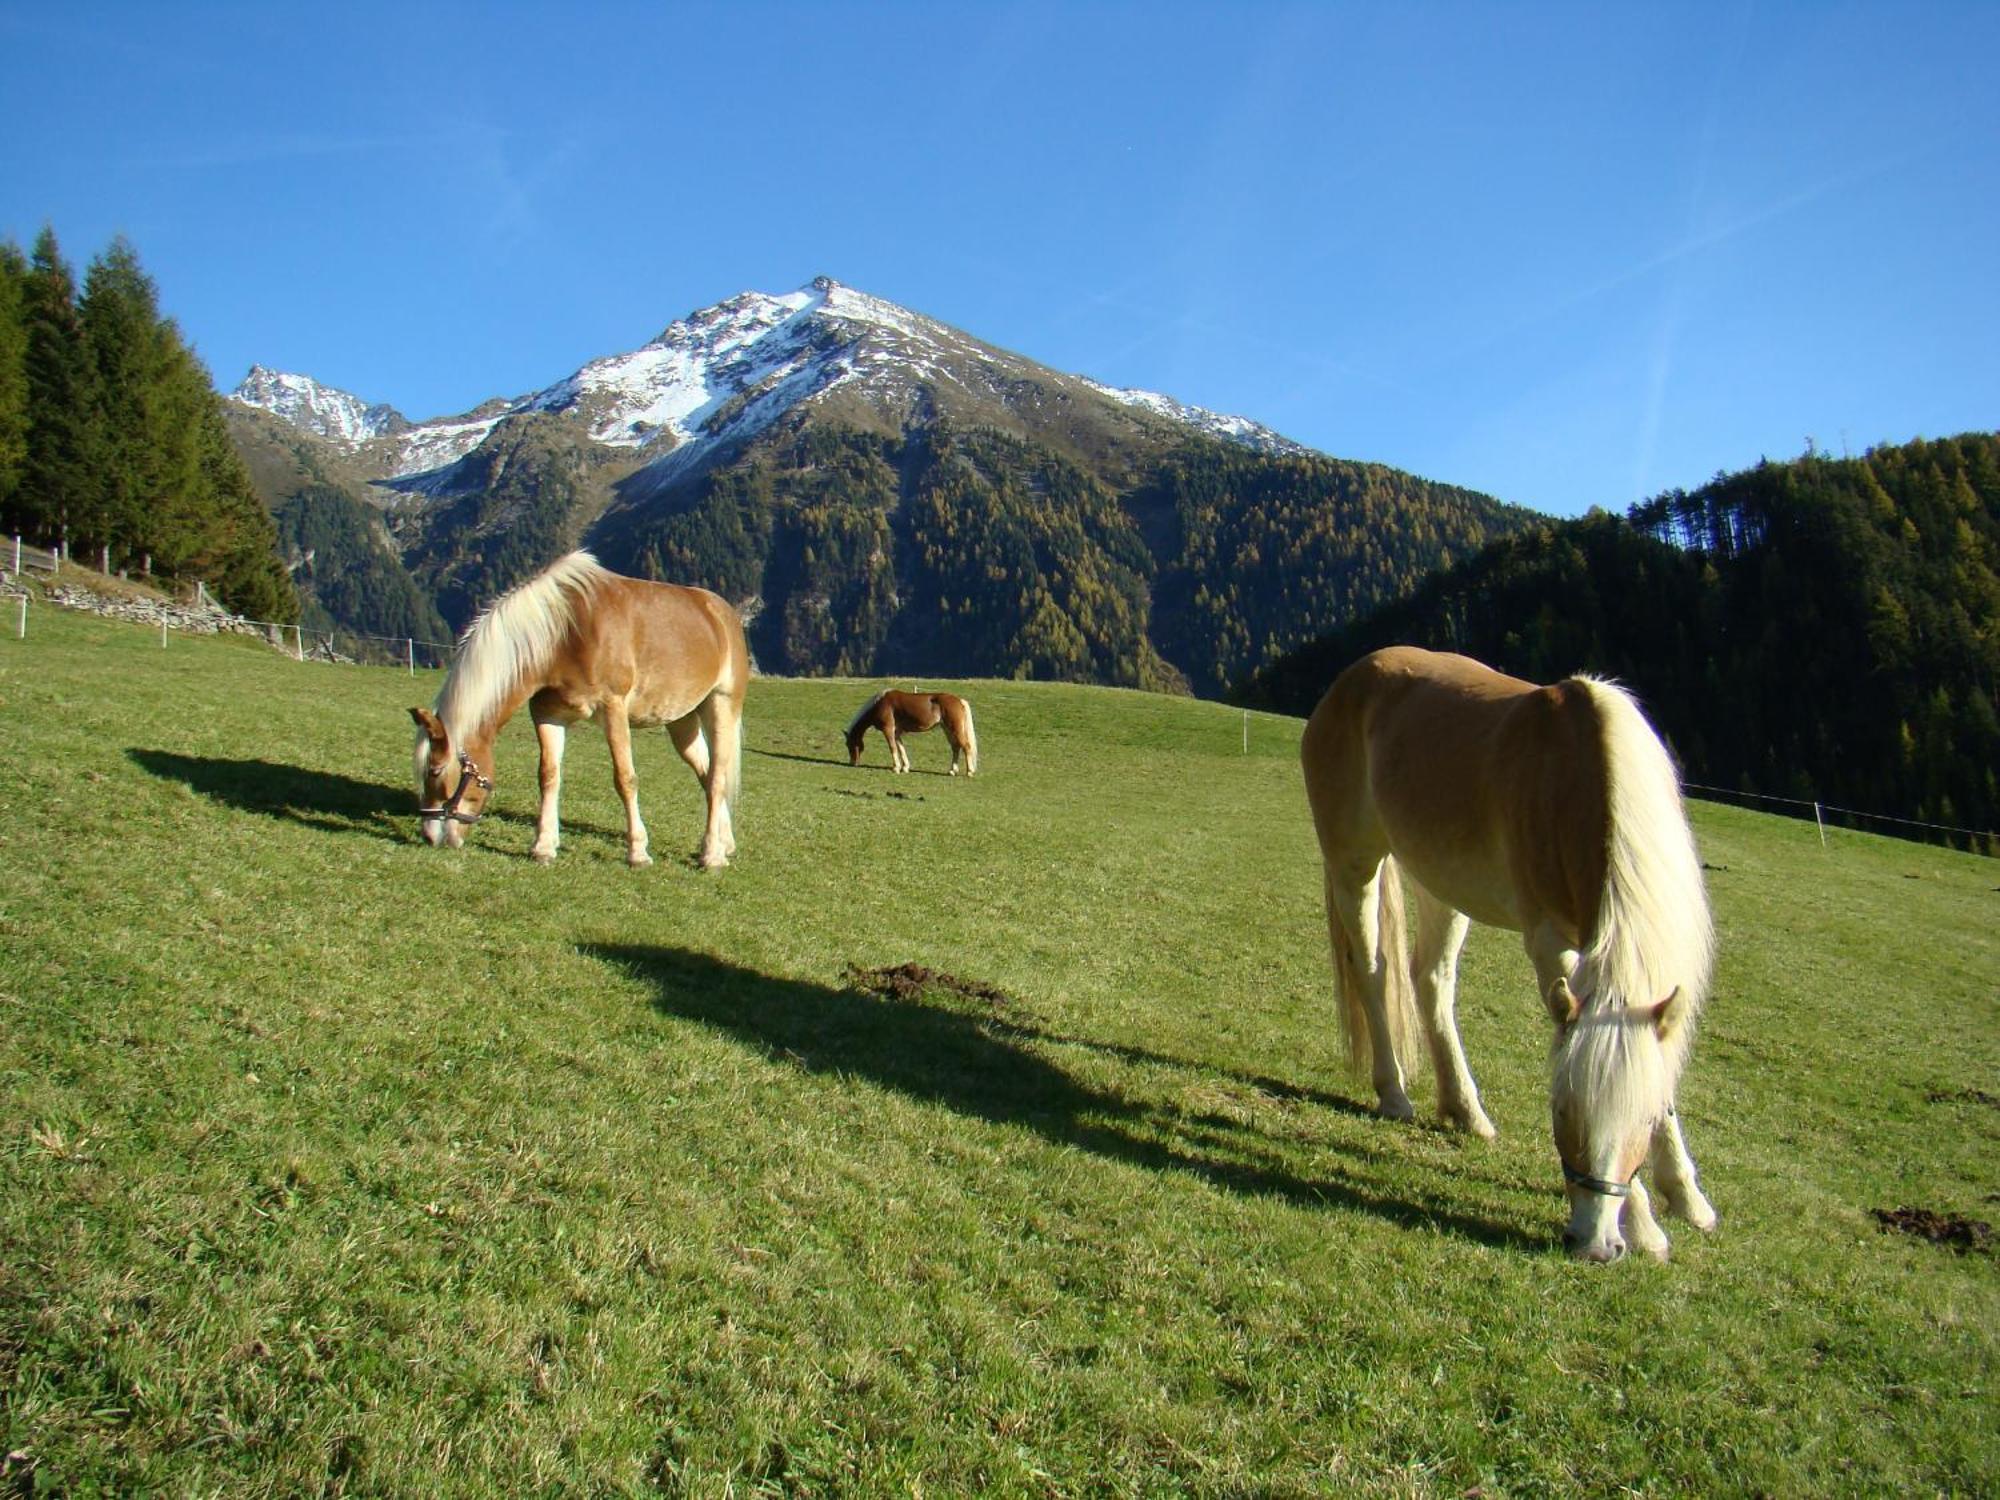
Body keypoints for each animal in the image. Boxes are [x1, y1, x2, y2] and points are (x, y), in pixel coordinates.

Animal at [408, 556, 752, 868]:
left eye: (435, 771)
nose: (429, 835)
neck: (564, 633)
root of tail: (722, 614)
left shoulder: (613, 709)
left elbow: (625, 779)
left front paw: (638, 852)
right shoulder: (547, 714)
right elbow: (548, 776)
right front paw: (543, 847)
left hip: (721, 705)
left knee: (717, 777)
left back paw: (712, 855)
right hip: (682, 722)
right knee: (706, 774)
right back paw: (725, 843)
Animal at [844, 692, 976, 780]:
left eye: (849, 745)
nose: (853, 763)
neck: (880, 704)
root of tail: (959, 700)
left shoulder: (888, 730)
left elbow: (893, 748)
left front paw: (896, 768)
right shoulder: (896, 733)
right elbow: (901, 749)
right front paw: (905, 767)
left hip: (955, 729)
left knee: (966, 747)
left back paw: (969, 772)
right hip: (947, 729)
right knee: (955, 747)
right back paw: (952, 771)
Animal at [1296, 648, 1720, 1272]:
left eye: (1643, 1121)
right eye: (1561, 1112)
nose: (1595, 1244)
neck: (1579, 782)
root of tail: (1354, 677)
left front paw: (1689, 1200)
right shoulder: (1551, 943)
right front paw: (1646, 1225)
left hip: (1441, 884)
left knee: (1432, 979)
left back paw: (1465, 1110)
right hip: (1356, 864)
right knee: (1373, 973)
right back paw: (1394, 1094)